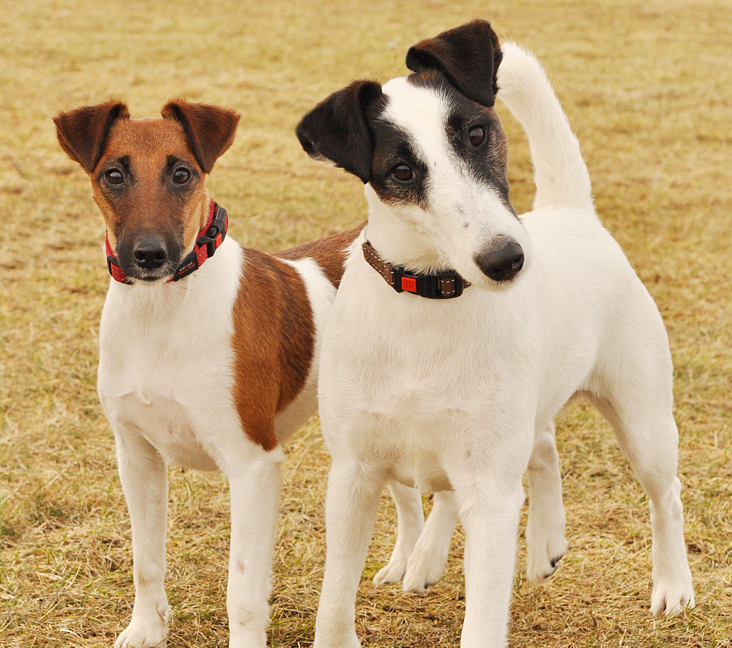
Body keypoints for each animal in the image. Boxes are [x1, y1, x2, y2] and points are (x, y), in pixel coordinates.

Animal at [54, 101, 364, 648]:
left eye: (183, 174)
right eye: (112, 175)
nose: (149, 255)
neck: (164, 311)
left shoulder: (253, 466)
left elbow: (242, 594)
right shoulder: (137, 458)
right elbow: (145, 561)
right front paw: (146, 628)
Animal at [296, 21, 692, 648]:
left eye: (478, 134)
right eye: (402, 172)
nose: (507, 259)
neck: (427, 298)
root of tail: (572, 212)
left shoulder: (490, 491)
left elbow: (482, 617)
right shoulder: (353, 476)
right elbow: (333, 606)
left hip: (643, 419)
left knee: (665, 495)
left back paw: (673, 584)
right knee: (541, 446)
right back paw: (518, 545)